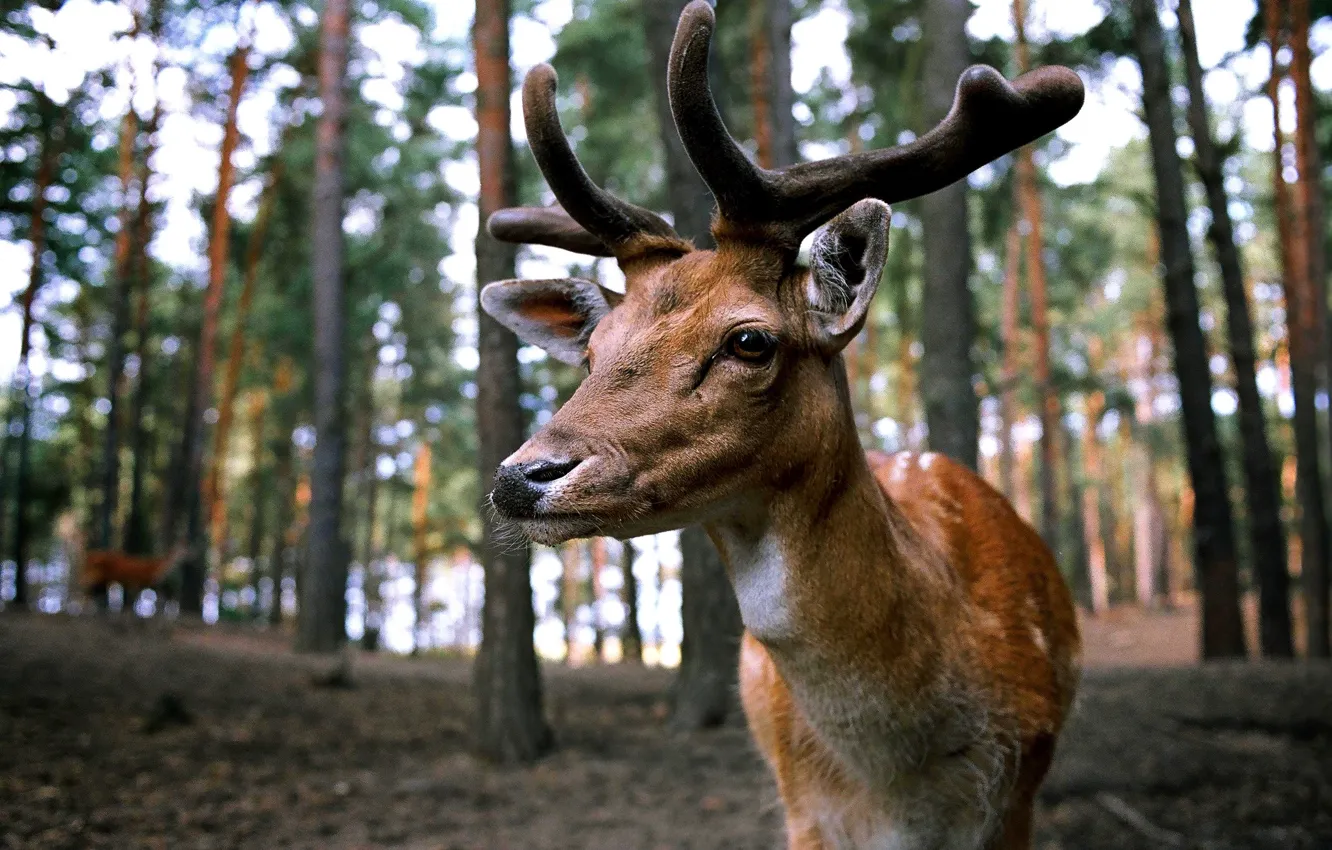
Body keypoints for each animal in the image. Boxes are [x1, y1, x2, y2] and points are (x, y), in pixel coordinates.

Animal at [479, 3, 1083, 847]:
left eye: (749, 341)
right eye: (593, 352)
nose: (522, 476)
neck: (902, 791)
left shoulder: (1019, 795)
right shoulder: (804, 813)